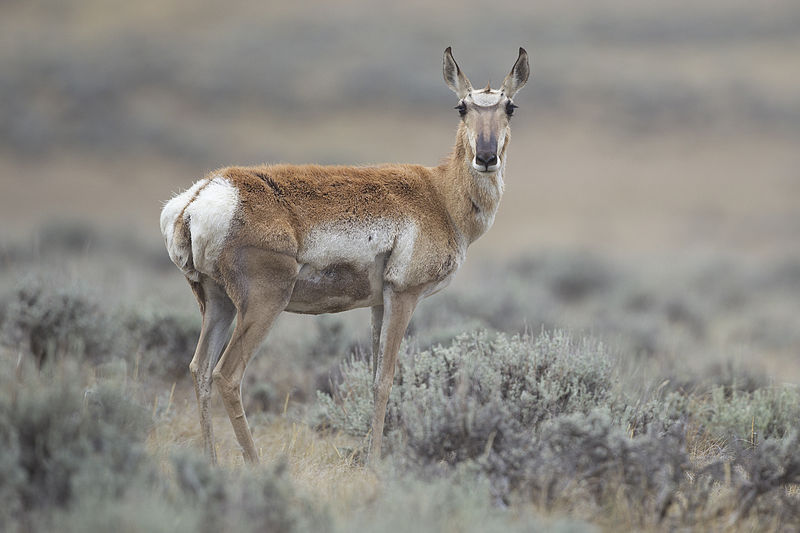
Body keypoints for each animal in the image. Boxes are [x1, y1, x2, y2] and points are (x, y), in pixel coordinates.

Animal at [160, 47, 529, 464]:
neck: (439, 194)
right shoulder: (404, 296)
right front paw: (374, 464)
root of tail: (203, 194)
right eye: (461, 107)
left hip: (217, 303)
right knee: (226, 375)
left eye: (510, 106)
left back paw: (211, 461)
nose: (486, 156)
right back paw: (254, 463)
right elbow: (386, 379)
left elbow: (371, 377)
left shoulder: (379, 304)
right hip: (263, 305)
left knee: (199, 369)